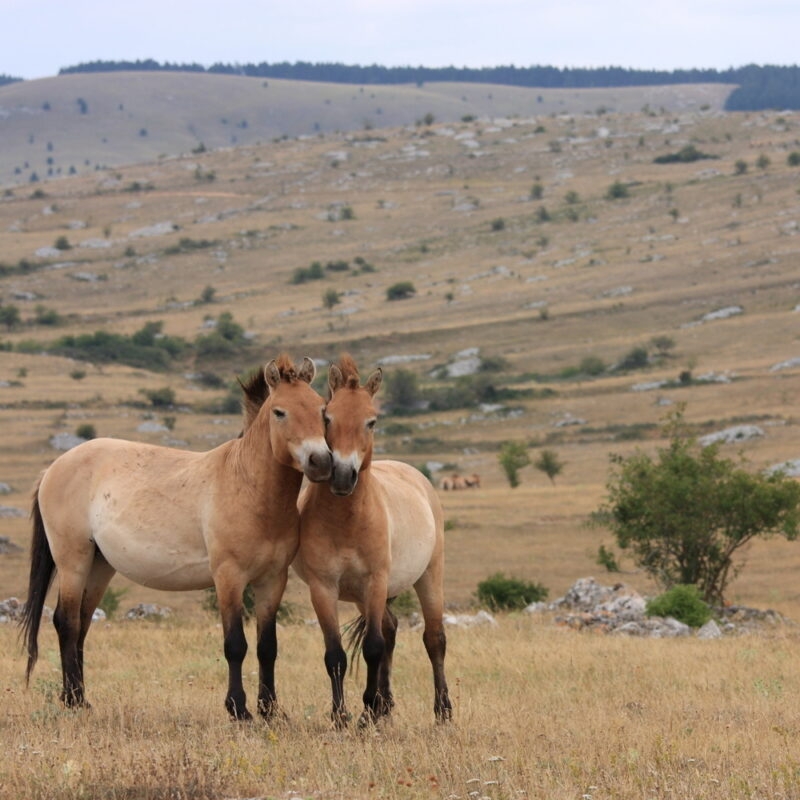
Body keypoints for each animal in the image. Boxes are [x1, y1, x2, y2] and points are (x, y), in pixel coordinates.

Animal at [20, 355, 332, 721]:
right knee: (66, 622)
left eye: (322, 409)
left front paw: (270, 710)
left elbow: (267, 647)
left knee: (81, 625)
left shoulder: (272, 580)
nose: (321, 461)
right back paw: (73, 700)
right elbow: (235, 645)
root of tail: (53, 468)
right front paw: (238, 709)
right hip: (74, 562)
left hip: (99, 567)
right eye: (279, 412)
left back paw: (81, 699)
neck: (247, 486)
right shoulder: (229, 578)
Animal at [293, 355, 452, 728]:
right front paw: (343, 715)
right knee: (390, 629)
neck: (348, 522)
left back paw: (442, 711)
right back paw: (385, 706)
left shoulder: (375, 582)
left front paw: (366, 709)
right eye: (327, 416)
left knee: (433, 639)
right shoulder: (324, 588)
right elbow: (336, 654)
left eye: (372, 421)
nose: (341, 474)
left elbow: (372, 647)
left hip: (429, 576)